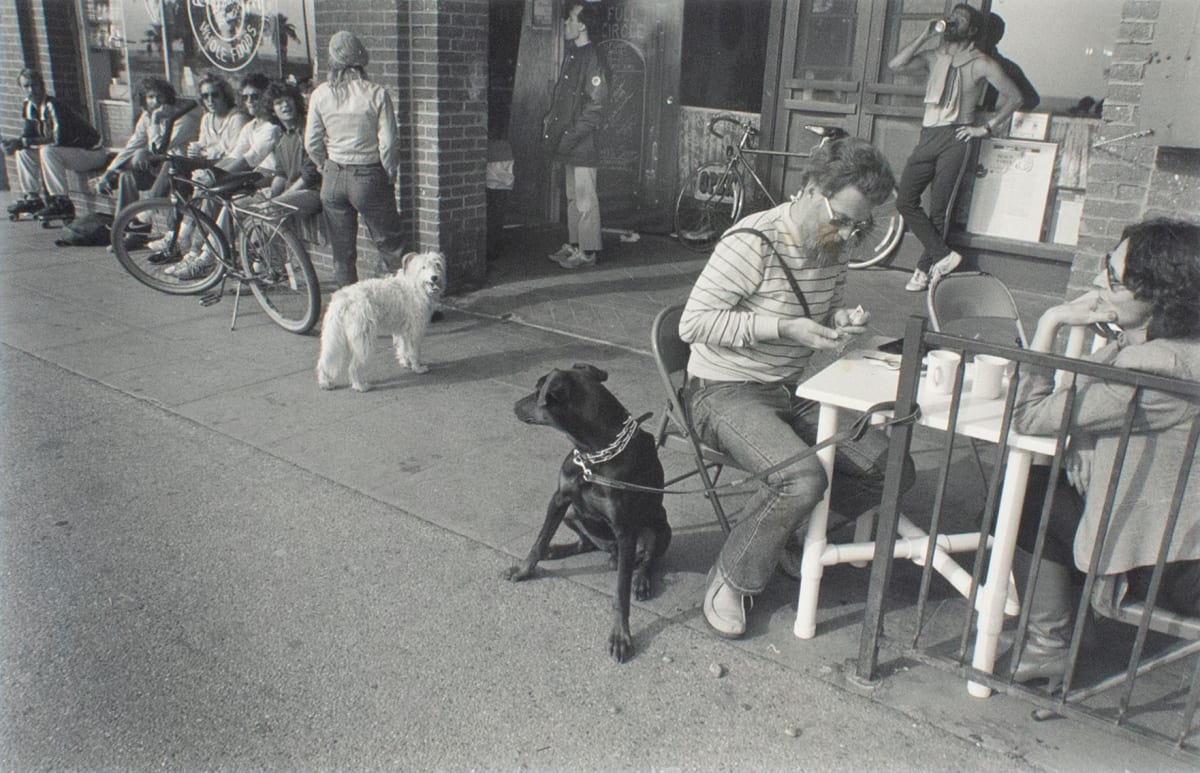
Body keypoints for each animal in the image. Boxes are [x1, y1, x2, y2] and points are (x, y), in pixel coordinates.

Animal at [319, 252, 446, 388]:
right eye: (423, 267)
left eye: (437, 265)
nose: (434, 277)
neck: (415, 285)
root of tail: (343, 298)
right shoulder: (415, 332)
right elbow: (415, 352)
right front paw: (417, 368)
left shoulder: (403, 331)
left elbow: (403, 348)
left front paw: (405, 362)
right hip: (364, 340)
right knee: (352, 367)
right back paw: (359, 386)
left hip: (334, 337)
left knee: (324, 359)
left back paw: (325, 381)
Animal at [508, 364, 676, 662]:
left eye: (538, 390)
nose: (515, 405)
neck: (593, 452)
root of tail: (611, 552)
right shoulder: (559, 499)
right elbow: (539, 541)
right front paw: (525, 569)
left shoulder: (625, 528)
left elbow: (620, 592)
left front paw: (620, 637)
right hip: (573, 514)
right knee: (586, 542)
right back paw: (558, 550)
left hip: (659, 527)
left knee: (647, 559)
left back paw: (641, 581)